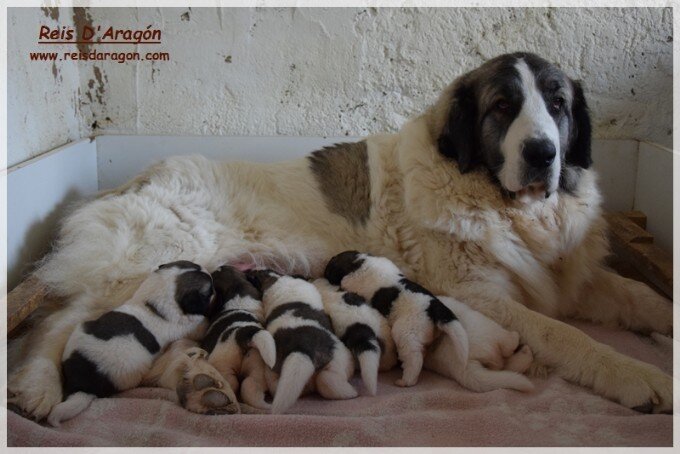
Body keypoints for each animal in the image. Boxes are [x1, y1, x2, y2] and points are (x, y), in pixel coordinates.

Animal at [47, 260, 212, 428]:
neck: (151, 305)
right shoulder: (189, 327)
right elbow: (200, 326)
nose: (210, 273)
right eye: (208, 293)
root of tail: (80, 384)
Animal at [199, 264, 276, 410]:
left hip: (223, 365)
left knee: (231, 385)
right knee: (249, 388)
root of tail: (242, 333)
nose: (222, 265)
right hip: (257, 366)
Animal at [248, 270, 356, 414]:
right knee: (328, 379)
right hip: (341, 356)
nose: (248, 271)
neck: (276, 278)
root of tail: (302, 350)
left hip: (276, 367)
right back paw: (352, 392)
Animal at [324, 252, 468, 386]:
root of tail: (433, 305)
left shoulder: (351, 281)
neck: (360, 261)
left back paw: (405, 381)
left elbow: (345, 284)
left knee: (414, 358)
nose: (324, 274)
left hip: (406, 332)